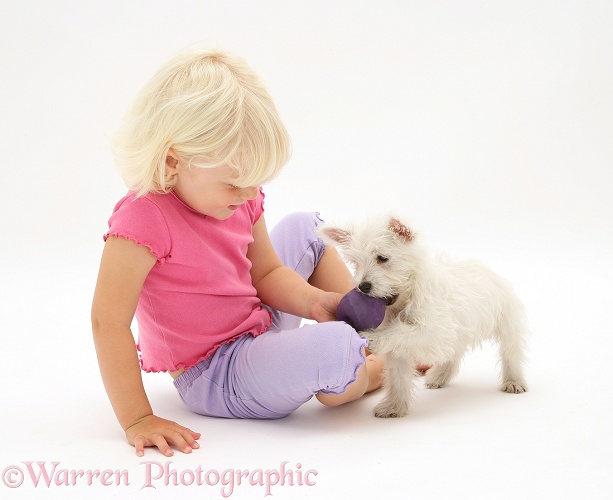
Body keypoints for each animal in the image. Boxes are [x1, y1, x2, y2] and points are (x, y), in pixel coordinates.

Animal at [320, 217, 524, 416]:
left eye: (382, 258)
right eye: (356, 263)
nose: (363, 286)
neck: (409, 292)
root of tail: (489, 270)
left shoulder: (433, 331)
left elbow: (400, 332)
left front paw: (373, 338)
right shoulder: (404, 349)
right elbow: (398, 375)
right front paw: (395, 406)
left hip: (508, 324)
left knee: (510, 353)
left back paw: (514, 382)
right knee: (453, 354)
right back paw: (439, 377)